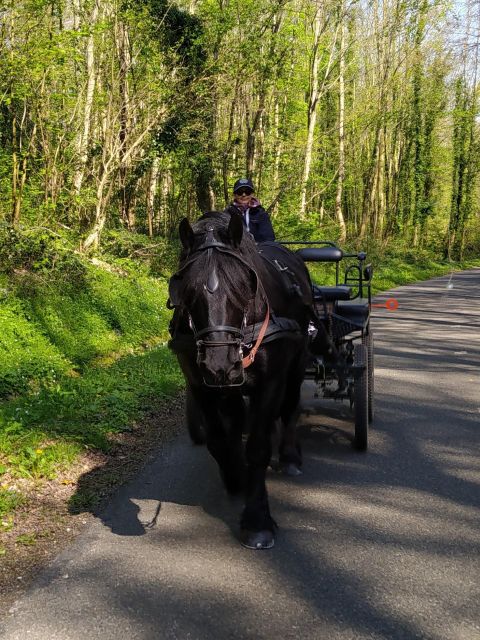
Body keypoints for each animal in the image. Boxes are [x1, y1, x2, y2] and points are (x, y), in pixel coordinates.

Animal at [169, 212, 316, 548]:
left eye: (243, 286)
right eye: (187, 290)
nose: (219, 364)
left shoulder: (270, 382)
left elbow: (258, 448)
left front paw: (257, 520)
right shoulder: (200, 385)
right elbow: (218, 439)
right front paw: (235, 476)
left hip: (298, 361)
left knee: (290, 406)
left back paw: (290, 456)